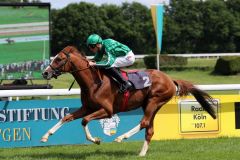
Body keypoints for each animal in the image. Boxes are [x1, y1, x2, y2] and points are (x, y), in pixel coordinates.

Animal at [40, 46, 216, 156]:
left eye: (59, 59)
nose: (45, 73)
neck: (94, 82)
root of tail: (170, 79)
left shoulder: (107, 110)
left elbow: (84, 121)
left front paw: (96, 140)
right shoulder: (87, 107)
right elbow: (67, 117)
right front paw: (46, 136)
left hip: (154, 101)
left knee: (144, 123)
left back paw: (121, 137)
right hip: (150, 104)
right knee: (149, 129)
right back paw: (141, 153)